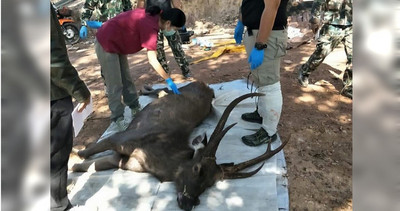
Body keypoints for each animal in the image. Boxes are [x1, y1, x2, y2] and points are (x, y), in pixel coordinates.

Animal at [72, 81, 288, 211]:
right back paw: (145, 88)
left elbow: (89, 167)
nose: (189, 203)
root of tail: (207, 87)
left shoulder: (124, 161)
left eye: (211, 183)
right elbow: (89, 152)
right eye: (197, 168)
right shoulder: (121, 138)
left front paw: (74, 166)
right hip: (181, 89)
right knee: (165, 89)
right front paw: (75, 153)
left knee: (162, 91)